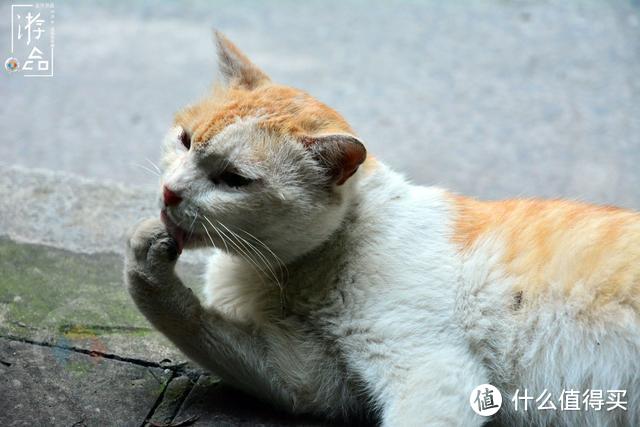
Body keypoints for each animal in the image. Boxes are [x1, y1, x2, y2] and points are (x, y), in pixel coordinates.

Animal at [125, 33, 640, 427]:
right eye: (185, 141)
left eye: (233, 180)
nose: (170, 192)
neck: (291, 276)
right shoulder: (311, 380)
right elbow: (195, 324)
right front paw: (145, 257)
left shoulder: (436, 375)